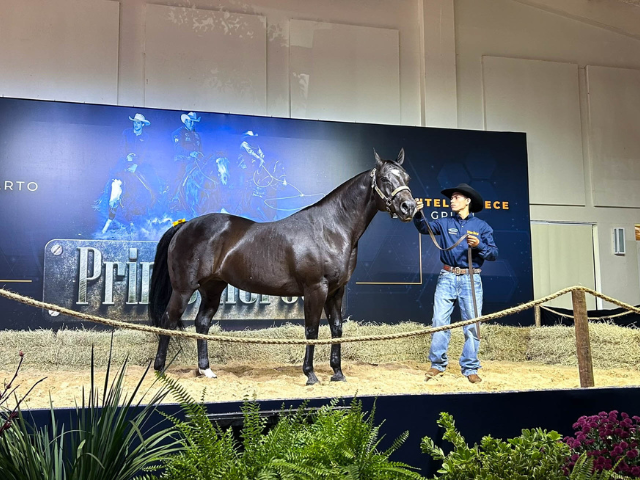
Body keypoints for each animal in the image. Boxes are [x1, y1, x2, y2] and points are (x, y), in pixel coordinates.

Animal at [151, 148, 420, 384]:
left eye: (407, 177)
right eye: (385, 178)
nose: (409, 207)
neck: (331, 229)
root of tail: (184, 225)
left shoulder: (336, 290)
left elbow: (336, 328)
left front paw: (338, 373)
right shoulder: (315, 289)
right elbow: (311, 331)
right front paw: (310, 375)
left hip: (212, 288)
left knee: (202, 323)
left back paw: (206, 370)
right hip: (184, 289)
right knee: (167, 320)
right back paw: (160, 370)